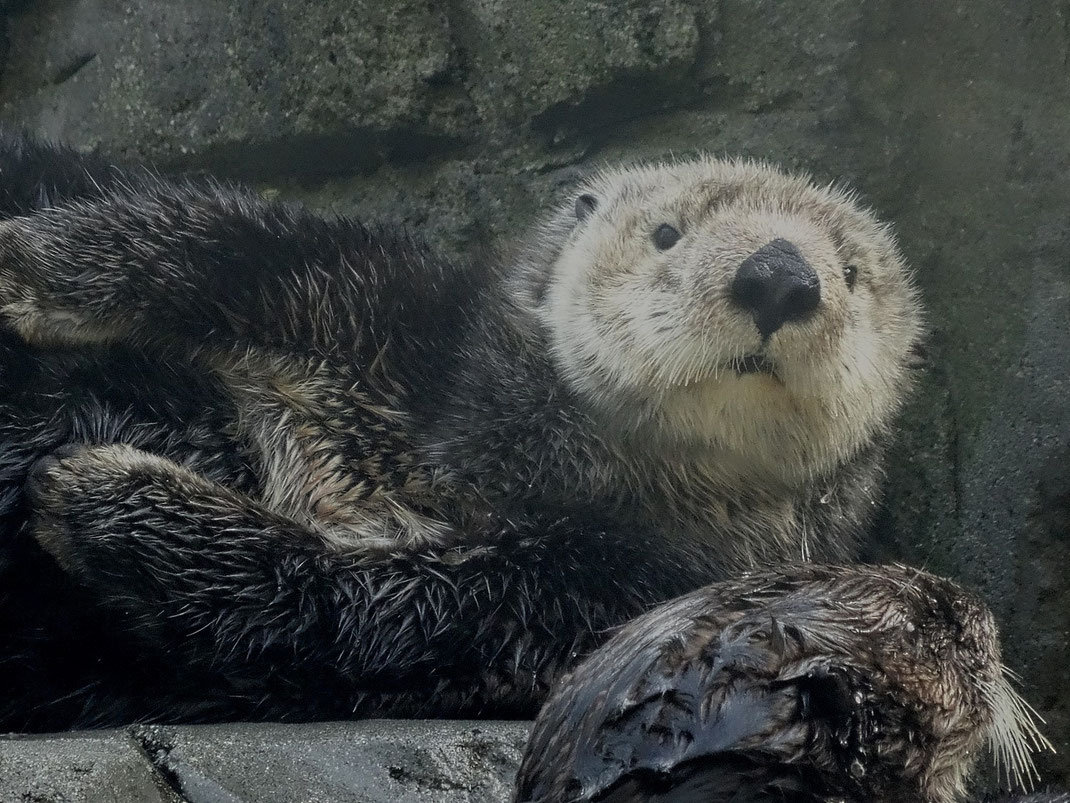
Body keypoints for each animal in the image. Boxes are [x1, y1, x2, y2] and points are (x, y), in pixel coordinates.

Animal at [0, 133, 922, 730]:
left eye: (851, 274)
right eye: (667, 233)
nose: (781, 275)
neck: (481, 469)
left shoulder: (596, 596)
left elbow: (359, 605)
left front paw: (99, 495)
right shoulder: (398, 314)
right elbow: (237, 248)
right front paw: (29, 271)